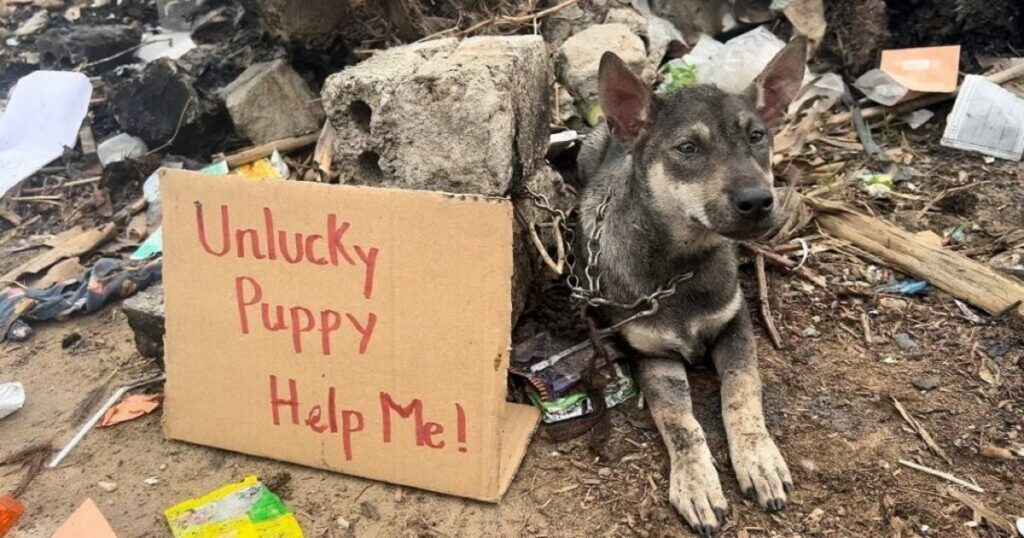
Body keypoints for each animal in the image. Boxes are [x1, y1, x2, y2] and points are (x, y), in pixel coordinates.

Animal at [577, 37, 806, 532]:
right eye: (687, 147)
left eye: (756, 136)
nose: (759, 202)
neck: (681, 267)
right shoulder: (650, 353)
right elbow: (678, 420)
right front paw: (697, 482)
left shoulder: (735, 323)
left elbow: (741, 391)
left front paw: (758, 458)